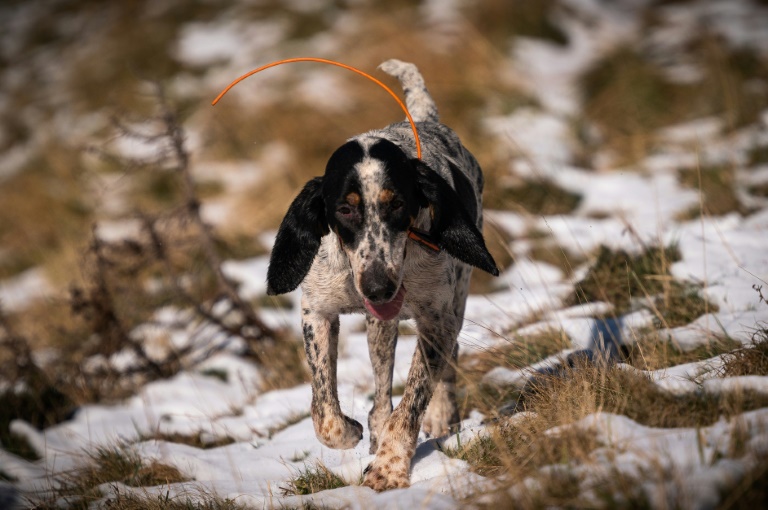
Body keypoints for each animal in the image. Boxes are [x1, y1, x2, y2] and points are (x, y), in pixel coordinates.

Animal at [268, 58, 500, 490]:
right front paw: (351, 431)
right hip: (380, 329)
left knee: (447, 363)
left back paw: (440, 418)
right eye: (344, 209)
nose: (378, 287)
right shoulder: (317, 312)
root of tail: (426, 117)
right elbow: (324, 409)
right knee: (379, 391)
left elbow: (412, 403)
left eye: (398, 205)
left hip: (454, 305)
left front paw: (390, 467)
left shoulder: (436, 322)